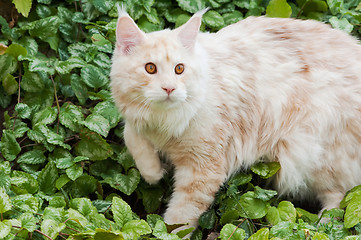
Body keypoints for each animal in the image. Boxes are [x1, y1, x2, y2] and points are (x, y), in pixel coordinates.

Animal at [109, 7, 360, 232]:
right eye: (150, 68)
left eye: (179, 69)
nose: (169, 88)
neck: (162, 122)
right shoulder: (137, 121)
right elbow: (133, 139)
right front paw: (154, 173)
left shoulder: (203, 168)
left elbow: (180, 218)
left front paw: (166, 234)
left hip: (314, 155)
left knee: (339, 199)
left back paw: (322, 226)